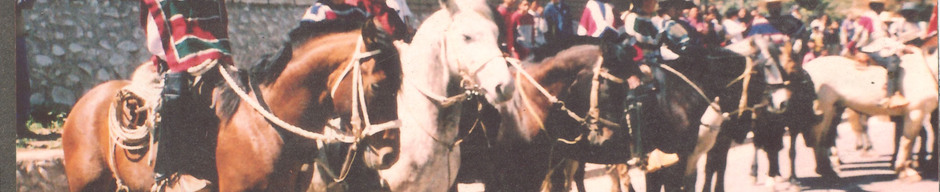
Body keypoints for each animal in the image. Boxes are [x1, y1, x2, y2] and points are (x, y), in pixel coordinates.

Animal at [804, 47, 936, 182]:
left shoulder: (909, 116)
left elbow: (909, 140)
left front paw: (906, 168)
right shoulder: (916, 113)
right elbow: (907, 142)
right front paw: (905, 171)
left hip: (832, 111)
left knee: (824, 138)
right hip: (824, 111)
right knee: (818, 139)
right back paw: (826, 170)